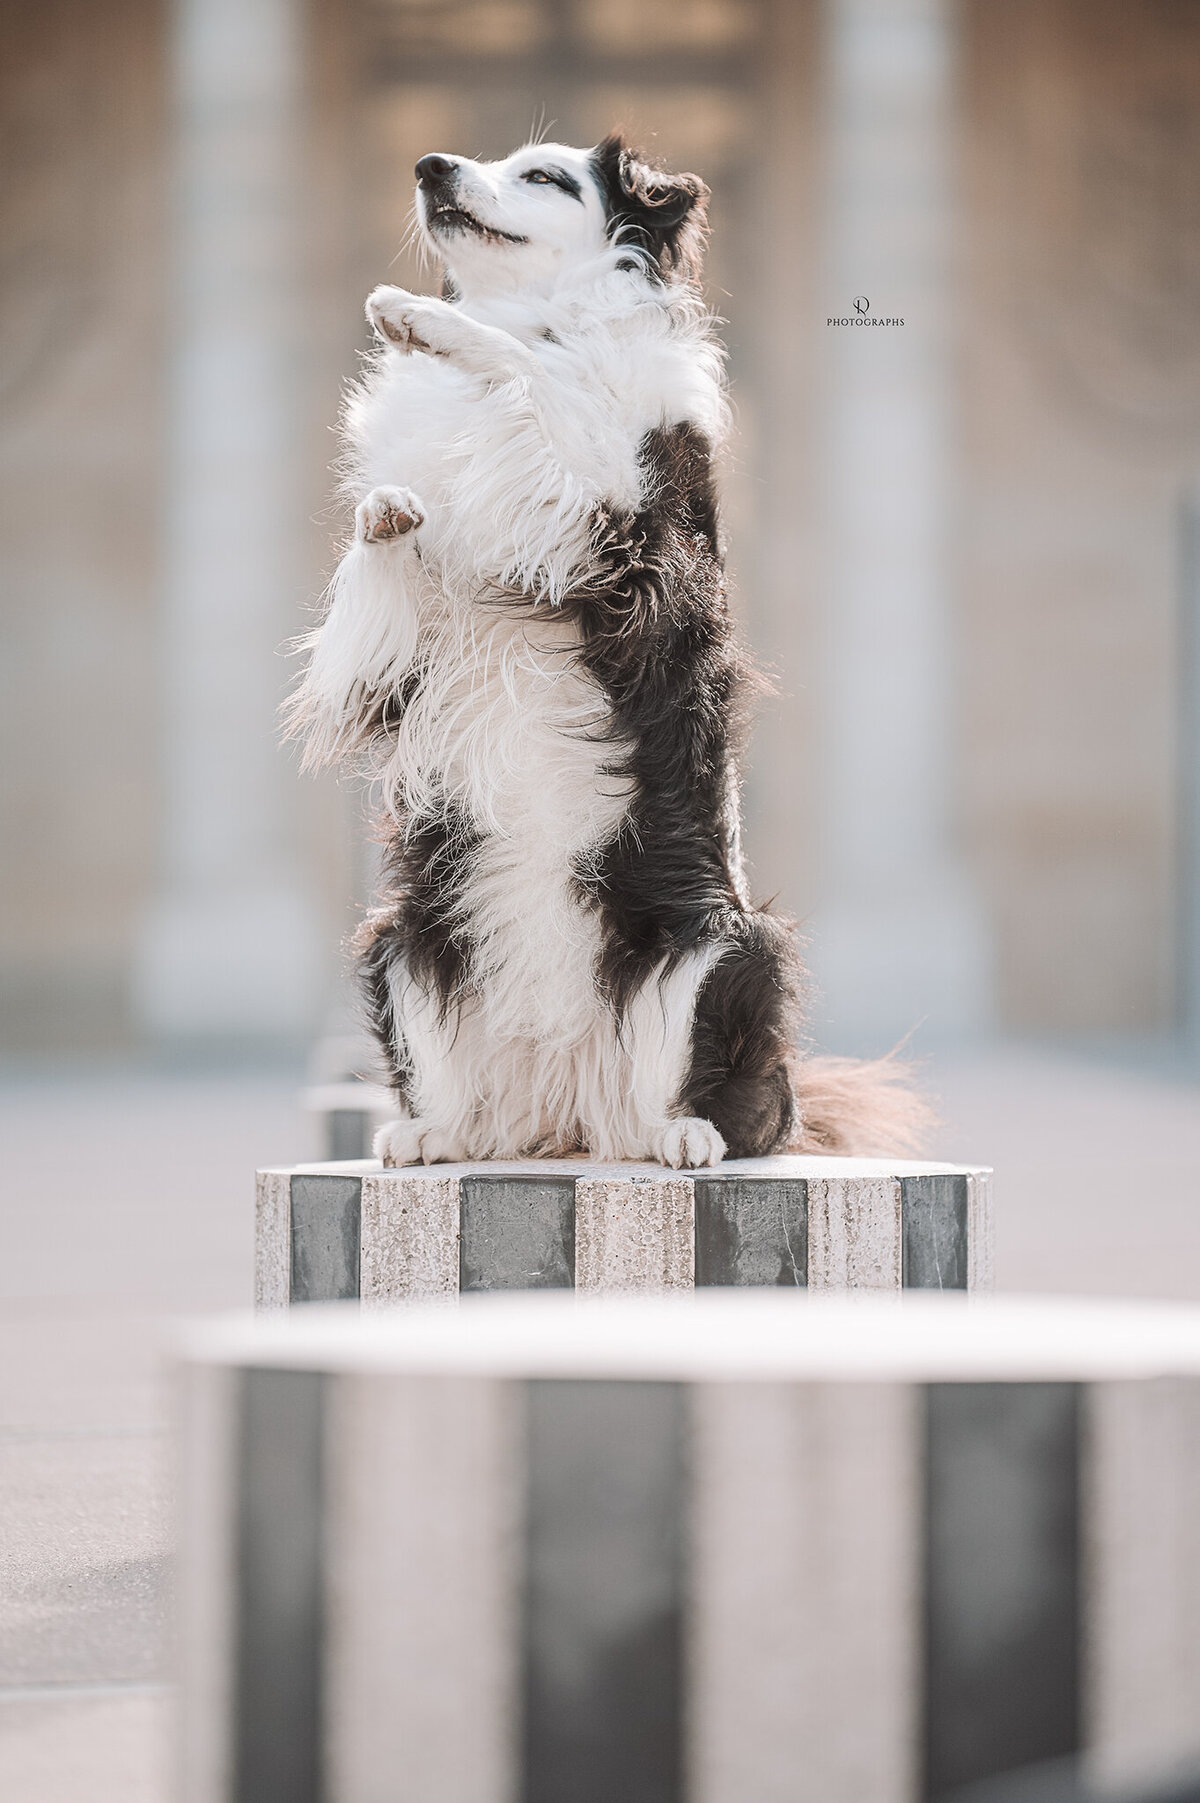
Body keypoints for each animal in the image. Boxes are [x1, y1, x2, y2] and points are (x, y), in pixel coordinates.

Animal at [284, 133, 918, 1161]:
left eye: (543, 176)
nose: (430, 165)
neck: (545, 310)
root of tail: (570, 1102)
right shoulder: (386, 675)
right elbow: (376, 586)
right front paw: (387, 509)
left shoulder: (629, 543)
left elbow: (538, 379)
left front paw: (426, 320)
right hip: (403, 935)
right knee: (466, 1100)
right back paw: (430, 1134)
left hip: (721, 941)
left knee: (713, 1106)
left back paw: (686, 1134)